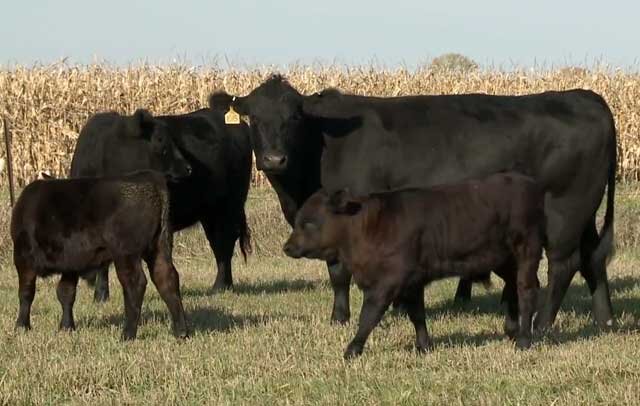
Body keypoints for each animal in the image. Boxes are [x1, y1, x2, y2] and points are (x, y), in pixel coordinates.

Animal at [10, 170, 188, 338]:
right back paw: (181, 331)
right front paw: (66, 327)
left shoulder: (23, 257)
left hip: (125, 252)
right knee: (166, 278)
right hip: (159, 247)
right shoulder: (71, 262)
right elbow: (66, 293)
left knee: (135, 283)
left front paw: (21, 326)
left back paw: (127, 334)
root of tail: (147, 177)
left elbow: (26, 292)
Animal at [70, 108, 250, 302]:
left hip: (230, 207)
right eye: (159, 142)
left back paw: (221, 286)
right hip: (211, 213)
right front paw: (101, 297)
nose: (188, 168)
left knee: (225, 244)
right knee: (219, 244)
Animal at [209, 74, 616, 332]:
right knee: (593, 257)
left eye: (294, 117)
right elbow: (336, 272)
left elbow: (340, 270)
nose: (274, 159)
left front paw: (342, 318)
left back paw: (543, 325)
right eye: (252, 118)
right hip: (584, 211)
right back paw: (604, 319)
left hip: (565, 209)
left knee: (565, 264)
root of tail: (582, 96)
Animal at [284, 173, 544, 356]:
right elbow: (417, 315)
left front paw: (352, 349)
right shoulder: (412, 282)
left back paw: (524, 340)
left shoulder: (388, 282)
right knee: (513, 288)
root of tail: (528, 182)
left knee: (527, 291)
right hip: (503, 260)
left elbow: (368, 316)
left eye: (309, 223)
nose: (287, 247)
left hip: (527, 252)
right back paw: (512, 330)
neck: (368, 227)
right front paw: (424, 346)